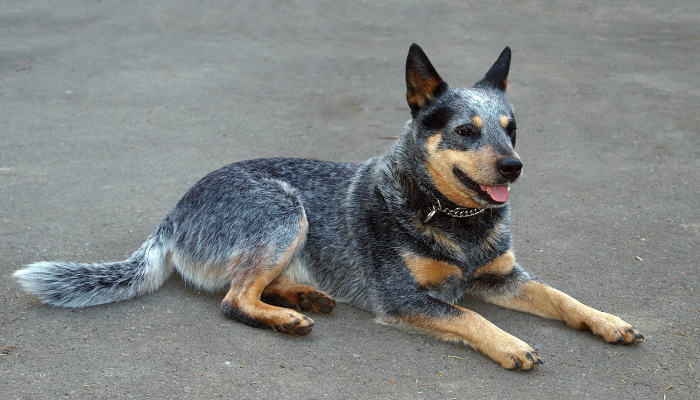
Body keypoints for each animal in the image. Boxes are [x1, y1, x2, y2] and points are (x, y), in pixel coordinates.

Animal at [15, 43, 644, 368]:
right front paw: (511, 343)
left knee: (242, 287)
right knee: (232, 300)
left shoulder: (504, 278)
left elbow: (562, 297)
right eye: (466, 131)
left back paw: (302, 295)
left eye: (511, 129)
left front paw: (609, 321)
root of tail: (172, 213)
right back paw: (288, 315)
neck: (453, 219)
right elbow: (467, 315)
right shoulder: (402, 298)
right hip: (284, 212)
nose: (514, 166)